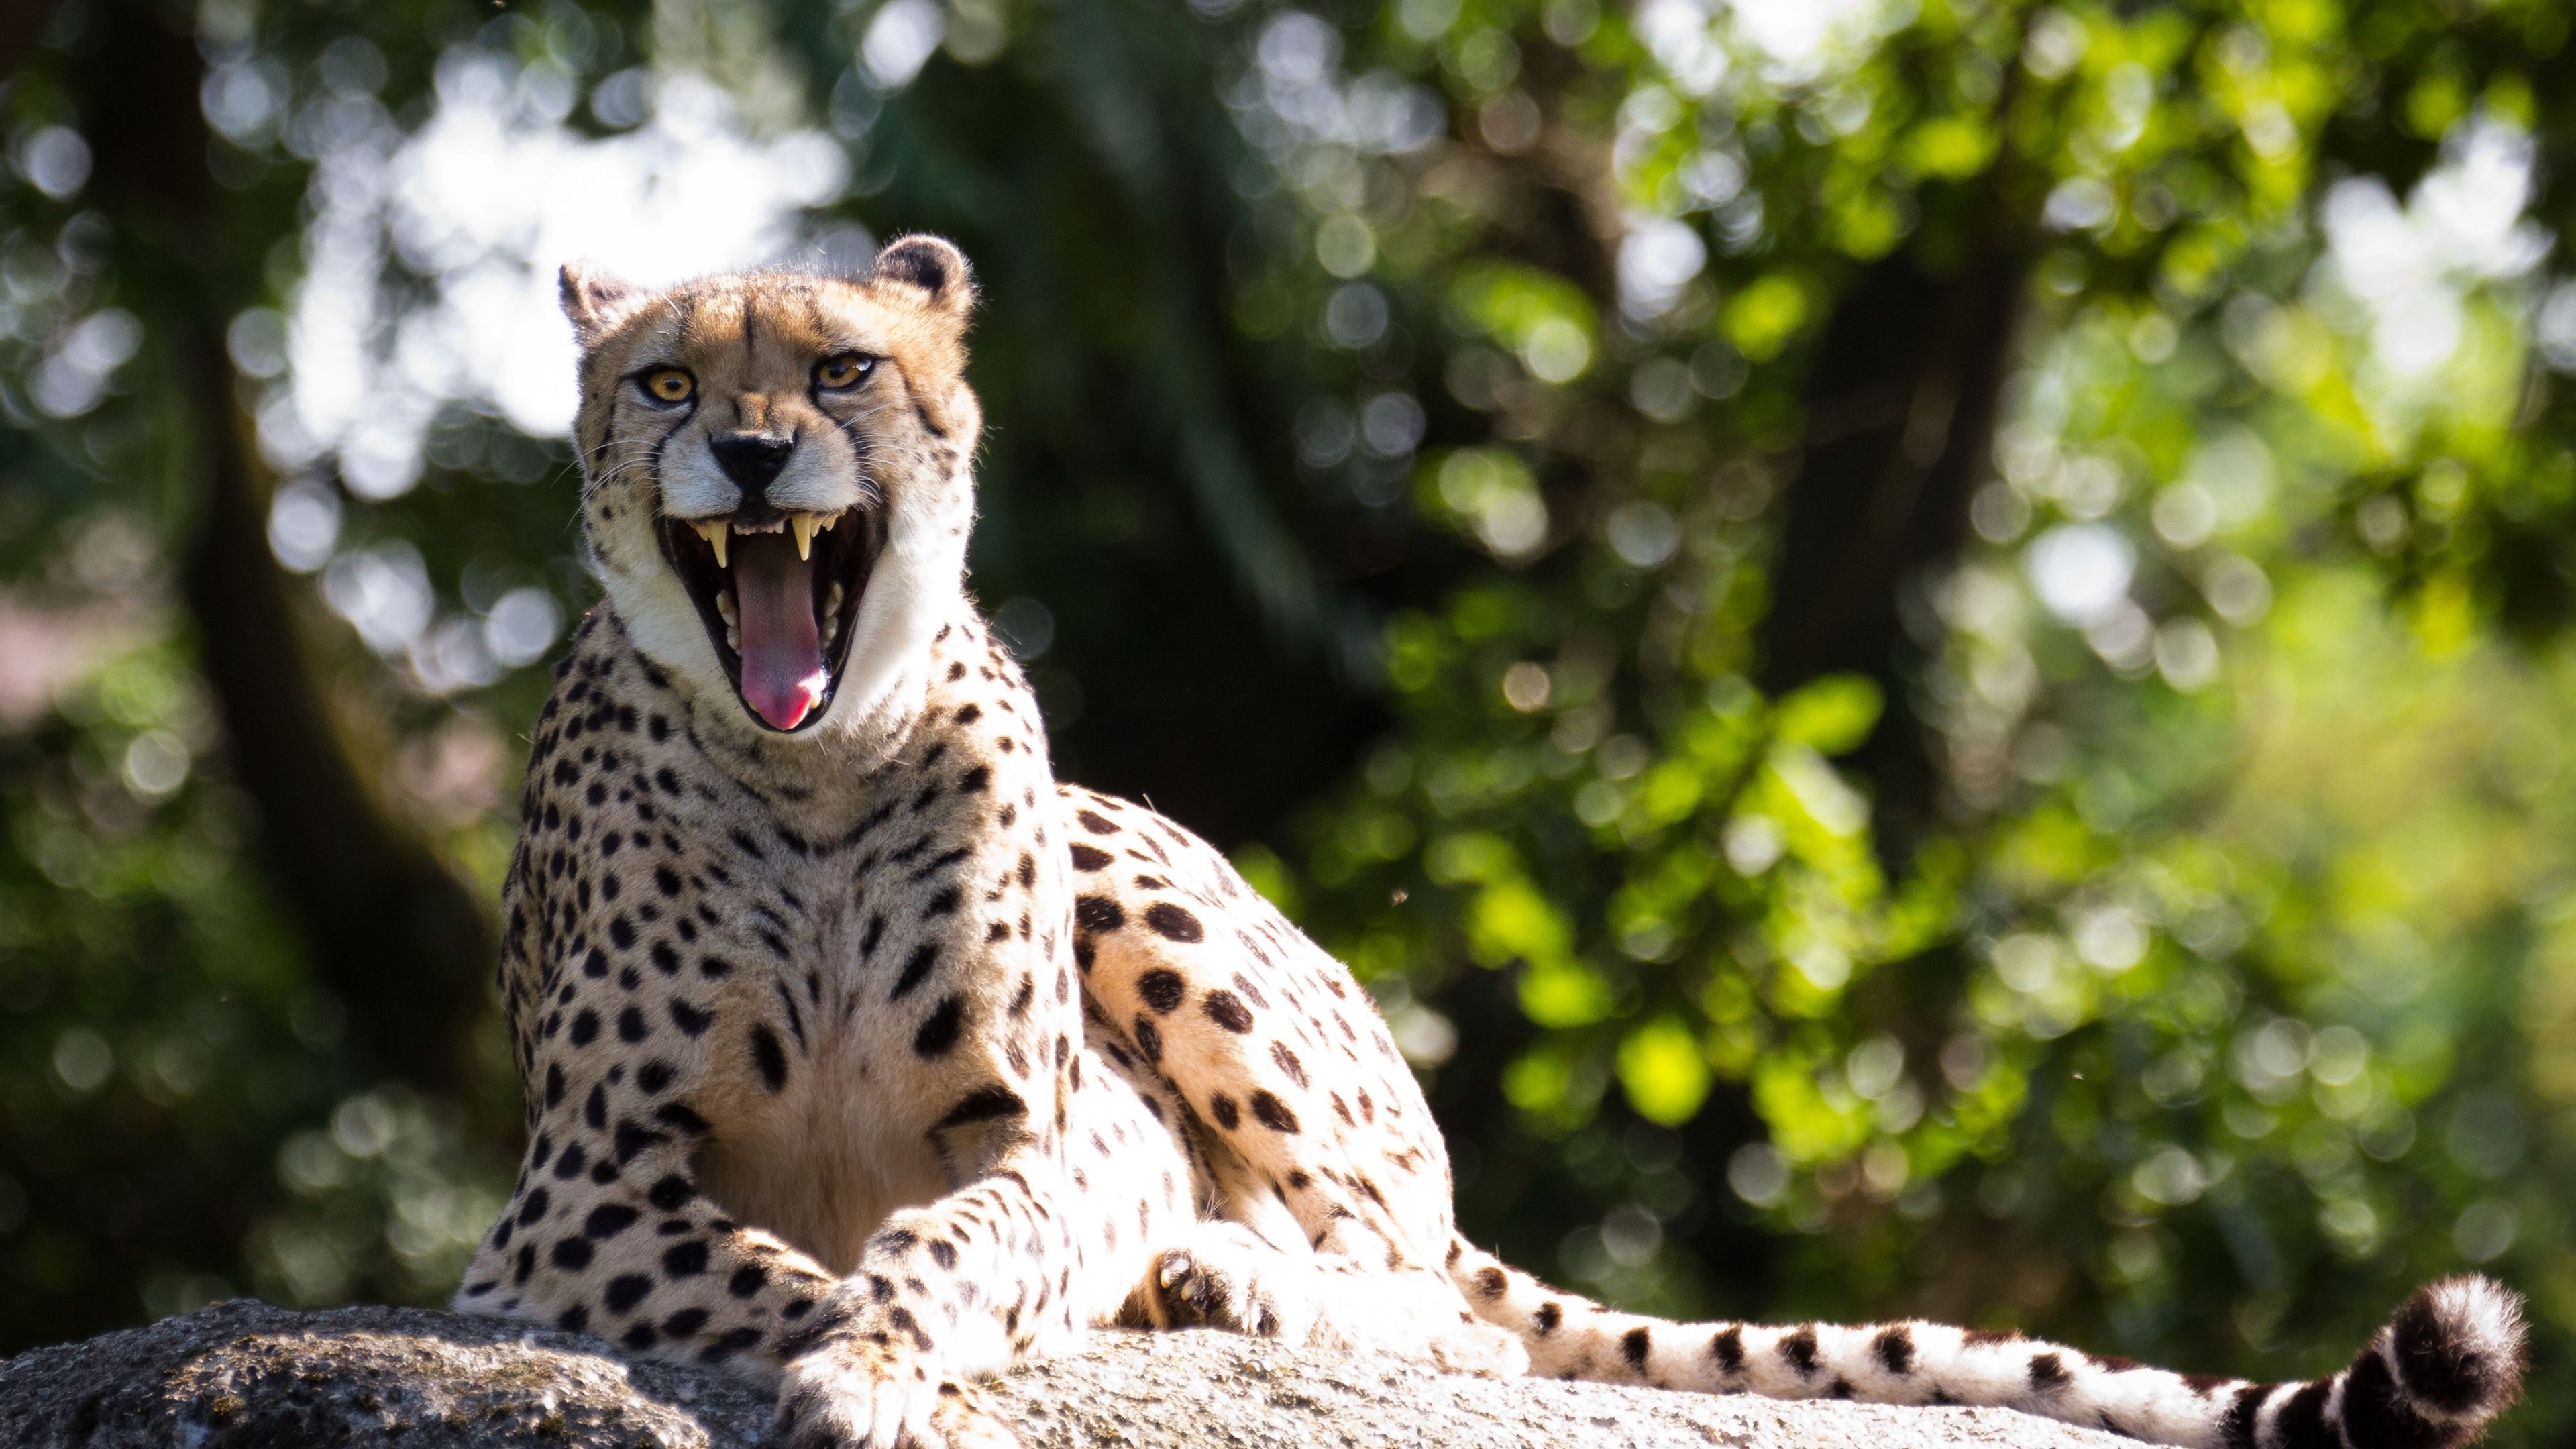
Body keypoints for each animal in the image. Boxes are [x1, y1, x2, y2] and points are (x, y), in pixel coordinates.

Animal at [453, 237, 2524, 1444]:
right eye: (663, 382)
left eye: (843, 369)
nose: (748, 457)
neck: (803, 766)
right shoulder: (564, 1203)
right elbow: (773, 1265)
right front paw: (864, 1347)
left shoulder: (1058, 1133)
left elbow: (961, 1237)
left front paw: (895, 1355)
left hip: (1155, 899)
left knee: (1438, 1303)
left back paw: (1238, 1279)